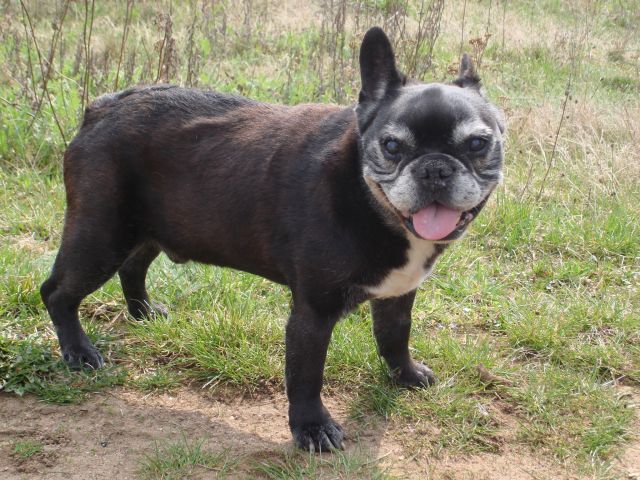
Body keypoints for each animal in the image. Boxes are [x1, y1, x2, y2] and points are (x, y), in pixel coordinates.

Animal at [41, 28, 504, 452]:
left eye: (478, 143)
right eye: (391, 146)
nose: (435, 168)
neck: (369, 199)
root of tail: (104, 106)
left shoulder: (397, 293)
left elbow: (394, 336)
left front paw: (404, 375)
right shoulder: (312, 313)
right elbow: (306, 375)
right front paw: (312, 428)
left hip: (148, 230)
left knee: (133, 266)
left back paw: (143, 313)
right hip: (101, 236)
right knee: (58, 292)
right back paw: (79, 351)